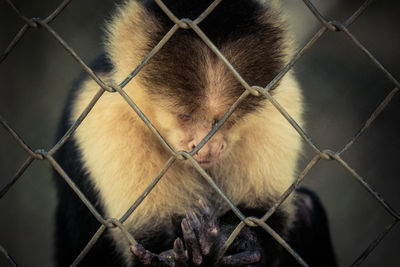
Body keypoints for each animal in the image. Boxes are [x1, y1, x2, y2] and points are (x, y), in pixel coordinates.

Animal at [53, 0, 336, 267]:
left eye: (224, 119)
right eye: (184, 116)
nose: (207, 146)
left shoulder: (279, 100)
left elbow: (263, 216)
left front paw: (236, 243)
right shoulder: (106, 114)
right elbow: (150, 240)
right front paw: (193, 255)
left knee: (307, 206)